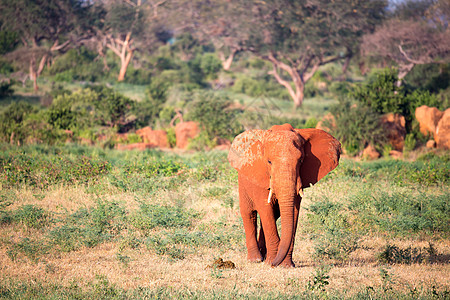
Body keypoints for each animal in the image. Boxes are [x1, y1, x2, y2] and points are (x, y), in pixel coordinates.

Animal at [229, 124, 342, 268]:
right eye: (269, 161)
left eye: (301, 160)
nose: (274, 264)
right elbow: (265, 210)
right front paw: (271, 262)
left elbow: (293, 212)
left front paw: (285, 265)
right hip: (243, 182)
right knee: (249, 213)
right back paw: (256, 259)